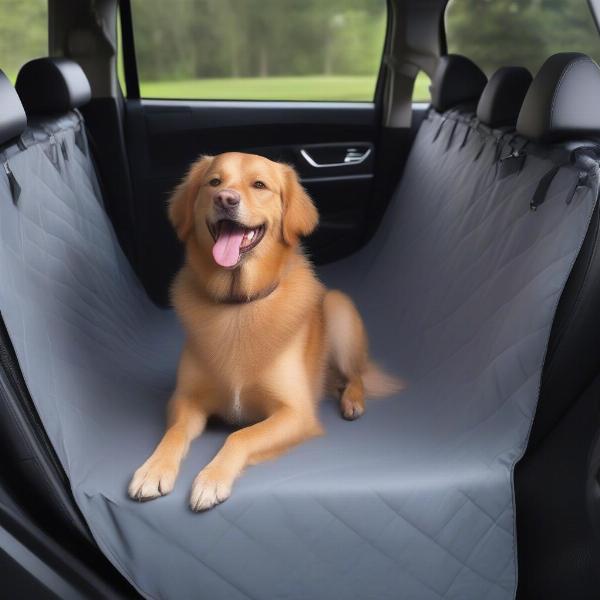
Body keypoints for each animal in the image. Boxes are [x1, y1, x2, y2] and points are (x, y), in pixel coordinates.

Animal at [130, 152, 404, 508]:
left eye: (259, 185)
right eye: (214, 182)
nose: (225, 199)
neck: (238, 305)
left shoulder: (295, 414)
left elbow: (240, 435)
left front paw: (211, 479)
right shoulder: (185, 400)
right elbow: (174, 432)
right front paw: (153, 470)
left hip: (339, 309)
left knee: (355, 374)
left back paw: (353, 400)